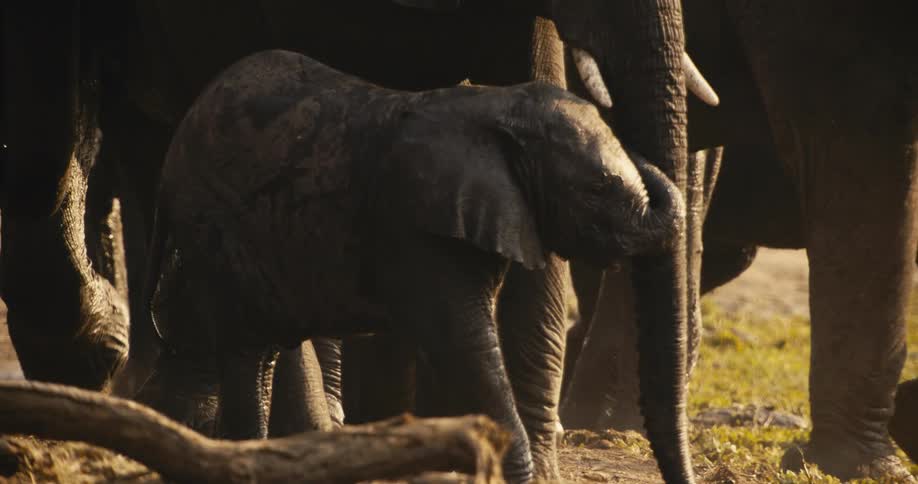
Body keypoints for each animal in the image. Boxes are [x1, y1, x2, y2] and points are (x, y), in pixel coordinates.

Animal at [147, 49, 686, 482]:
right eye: (597, 188)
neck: (497, 106)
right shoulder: (418, 225)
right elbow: (465, 343)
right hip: (210, 226)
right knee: (244, 345)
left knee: (260, 351)